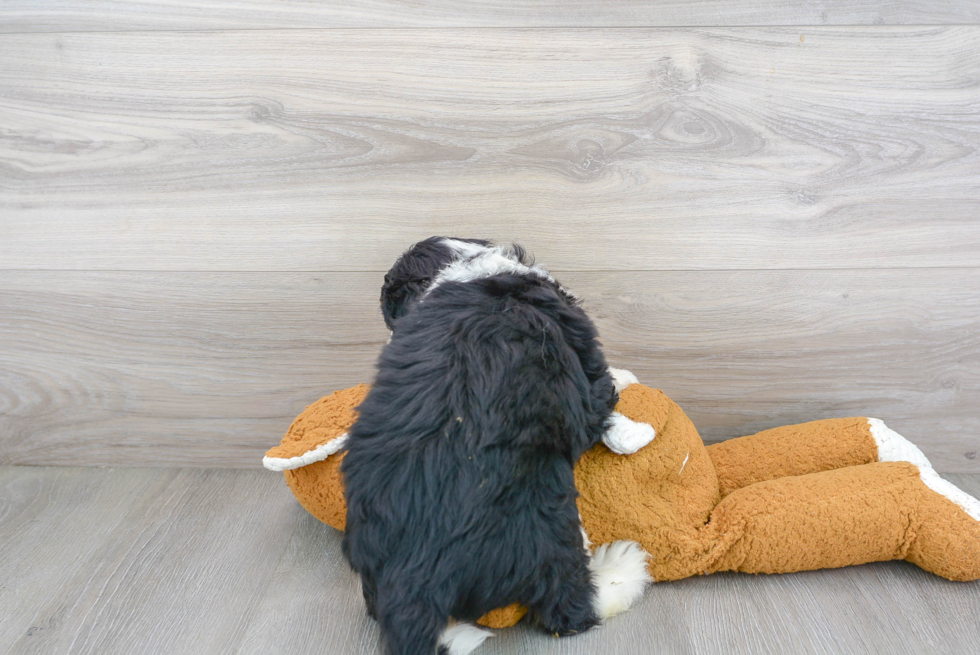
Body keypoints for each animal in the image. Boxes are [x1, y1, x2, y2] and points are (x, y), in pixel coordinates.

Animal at [340, 237, 656, 655]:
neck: (466, 270)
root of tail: (414, 578)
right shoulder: (585, 363)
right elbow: (605, 398)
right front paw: (633, 414)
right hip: (548, 528)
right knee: (566, 607)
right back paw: (621, 569)